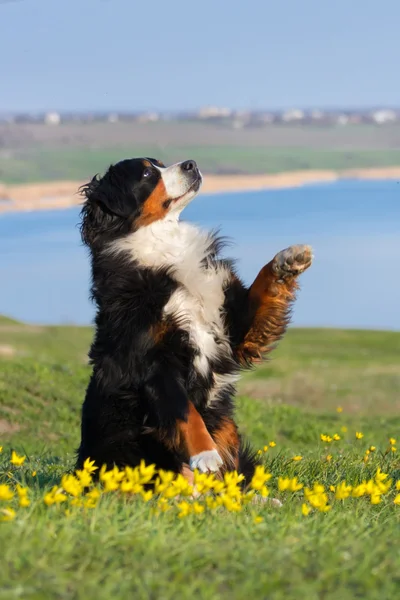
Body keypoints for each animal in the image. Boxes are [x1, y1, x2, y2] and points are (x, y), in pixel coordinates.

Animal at [76, 158, 312, 482]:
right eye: (148, 173)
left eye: (162, 164)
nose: (191, 164)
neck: (163, 251)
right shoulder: (152, 362)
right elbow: (185, 411)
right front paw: (206, 453)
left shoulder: (233, 326)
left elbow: (261, 287)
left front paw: (287, 260)